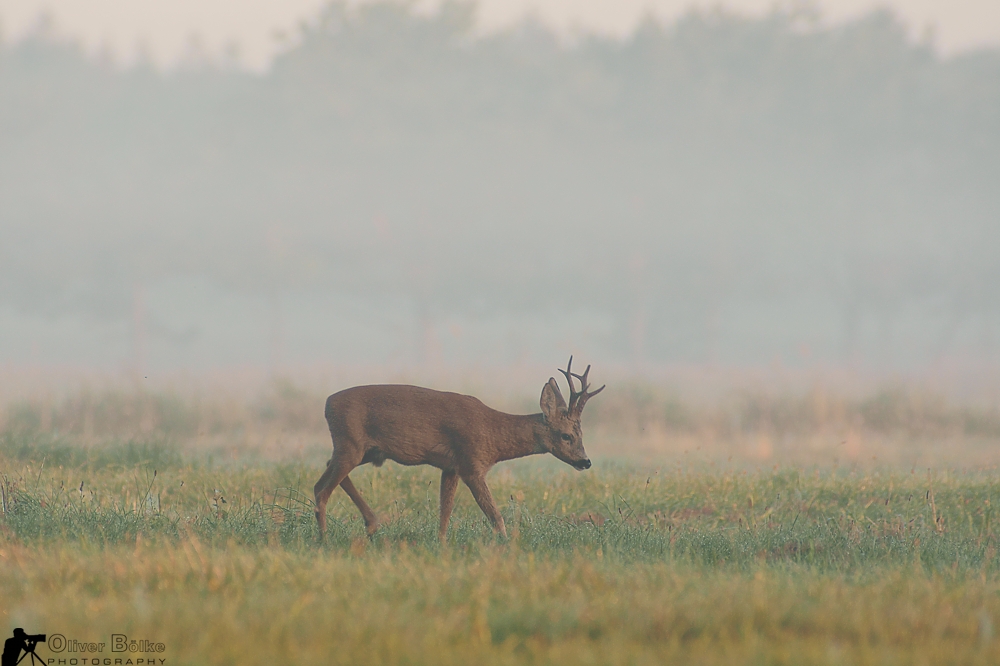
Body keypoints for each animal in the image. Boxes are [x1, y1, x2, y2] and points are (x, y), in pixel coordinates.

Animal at [316, 356, 604, 536]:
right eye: (566, 435)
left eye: (581, 434)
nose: (586, 461)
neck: (493, 433)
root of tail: (327, 404)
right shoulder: (470, 464)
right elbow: (495, 516)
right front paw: (506, 544)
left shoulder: (450, 467)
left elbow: (445, 513)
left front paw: (441, 544)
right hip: (350, 443)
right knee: (322, 488)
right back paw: (326, 538)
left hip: (365, 450)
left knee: (325, 474)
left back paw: (371, 523)